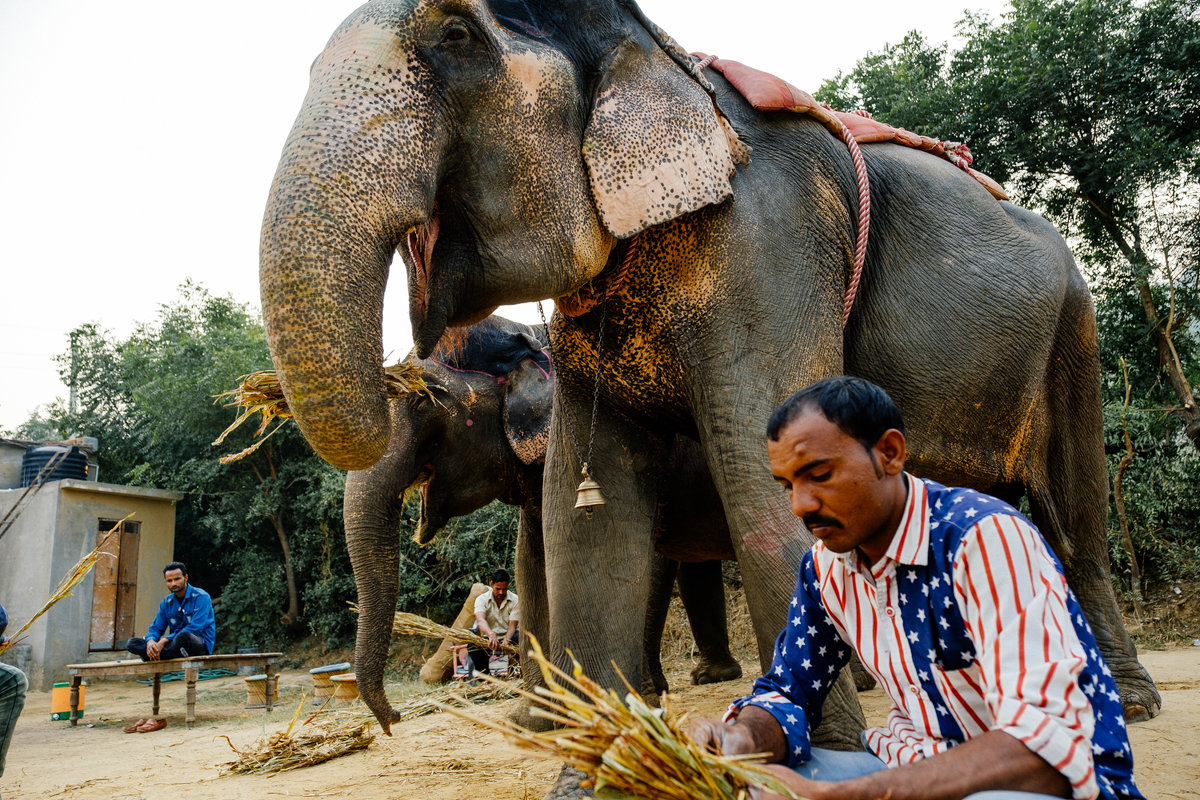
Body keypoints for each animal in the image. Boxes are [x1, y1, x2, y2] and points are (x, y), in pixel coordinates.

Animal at [343, 314, 744, 734]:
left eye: (425, 397)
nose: (394, 720)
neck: (528, 332)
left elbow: (643, 560)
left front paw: (640, 703)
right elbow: (532, 567)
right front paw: (537, 717)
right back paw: (712, 676)